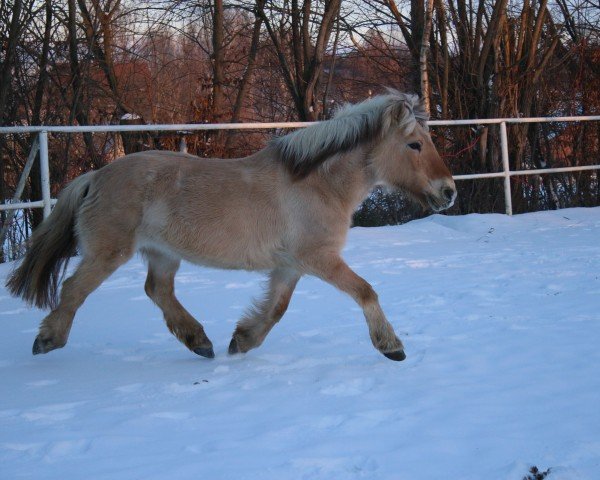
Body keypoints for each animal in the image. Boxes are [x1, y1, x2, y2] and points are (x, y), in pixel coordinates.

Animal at [5, 89, 454, 360]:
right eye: (414, 144)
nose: (448, 191)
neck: (317, 182)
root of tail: (96, 176)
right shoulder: (319, 259)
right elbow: (365, 291)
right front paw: (391, 346)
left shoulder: (290, 266)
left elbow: (276, 309)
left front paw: (242, 340)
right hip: (108, 253)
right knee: (73, 289)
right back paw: (48, 340)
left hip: (163, 253)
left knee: (157, 290)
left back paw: (199, 341)